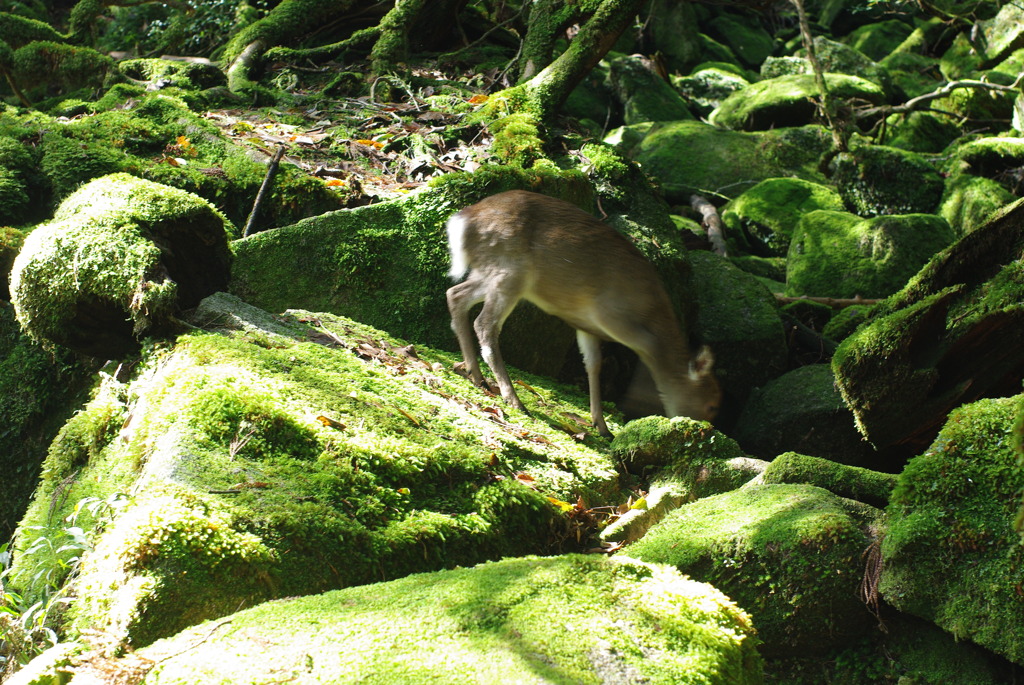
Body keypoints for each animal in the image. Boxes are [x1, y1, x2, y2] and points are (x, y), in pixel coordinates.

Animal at [446, 187, 720, 436]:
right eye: (711, 405)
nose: (705, 429)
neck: (651, 312)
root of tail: (463, 220)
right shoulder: (610, 316)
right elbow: (643, 351)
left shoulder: (585, 325)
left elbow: (593, 364)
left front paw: (602, 425)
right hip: (510, 272)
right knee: (484, 324)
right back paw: (513, 399)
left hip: (490, 272)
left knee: (455, 294)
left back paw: (475, 374)